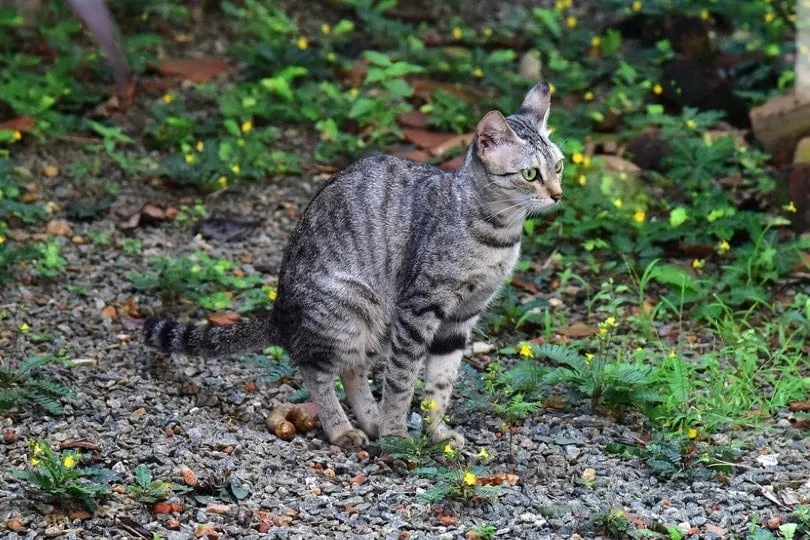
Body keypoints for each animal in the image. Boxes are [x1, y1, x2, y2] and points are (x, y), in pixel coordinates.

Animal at [144, 82, 560, 450]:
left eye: (557, 167)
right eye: (530, 174)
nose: (558, 194)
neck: (498, 234)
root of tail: (279, 315)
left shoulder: (461, 317)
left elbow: (440, 384)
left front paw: (436, 432)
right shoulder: (419, 308)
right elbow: (402, 381)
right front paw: (396, 434)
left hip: (377, 321)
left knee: (352, 369)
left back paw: (369, 421)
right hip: (351, 307)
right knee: (316, 370)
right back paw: (343, 429)